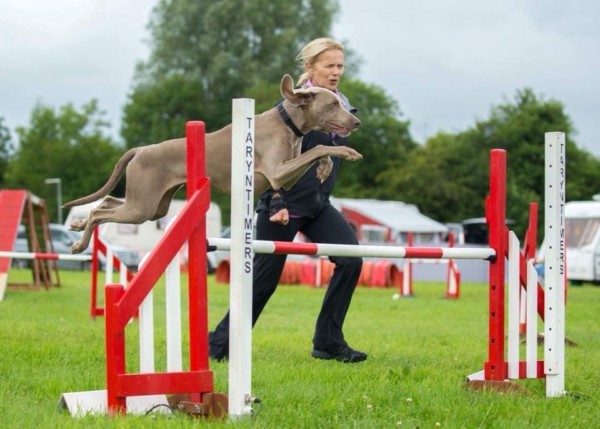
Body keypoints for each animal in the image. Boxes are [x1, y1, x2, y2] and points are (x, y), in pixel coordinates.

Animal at [68, 74, 364, 252]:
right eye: (333, 103)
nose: (357, 121)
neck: (288, 122)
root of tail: (140, 150)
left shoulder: (287, 177)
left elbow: (317, 152)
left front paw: (325, 167)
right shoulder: (278, 173)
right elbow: (322, 147)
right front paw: (348, 152)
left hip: (153, 206)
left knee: (106, 202)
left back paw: (77, 225)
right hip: (142, 205)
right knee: (99, 213)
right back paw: (79, 244)